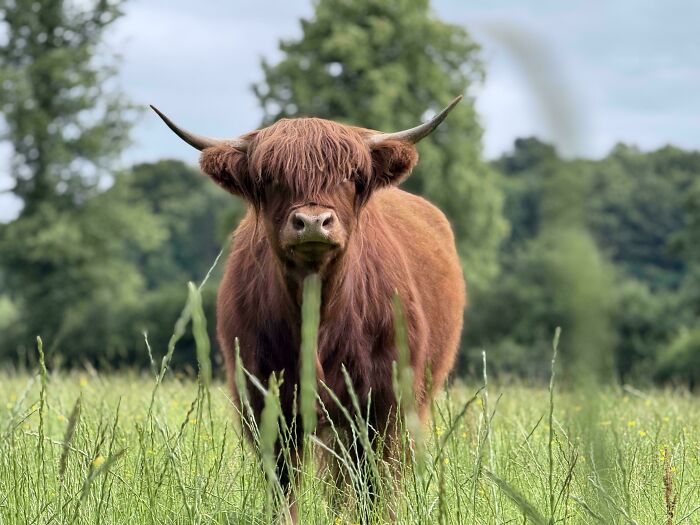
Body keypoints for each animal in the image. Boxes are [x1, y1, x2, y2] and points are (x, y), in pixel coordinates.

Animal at [152, 97, 466, 521]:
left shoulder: (385, 405)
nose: (314, 222)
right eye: (270, 179)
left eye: (351, 176)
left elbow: (375, 487)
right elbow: (283, 490)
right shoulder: (265, 404)